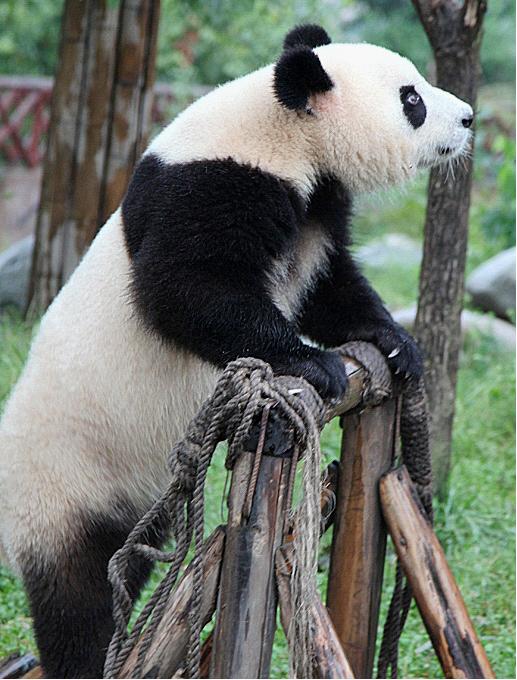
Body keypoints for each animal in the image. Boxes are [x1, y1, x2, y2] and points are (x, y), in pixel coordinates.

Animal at [0, 24, 473, 679]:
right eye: (412, 99)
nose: (469, 118)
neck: (284, 130)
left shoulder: (316, 203)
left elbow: (330, 287)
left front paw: (397, 343)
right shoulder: (212, 186)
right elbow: (185, 289)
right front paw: (311, 362)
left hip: (134, 498)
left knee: (125, 557)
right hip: (60, 476)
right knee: (76, 593)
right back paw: (84, 653)